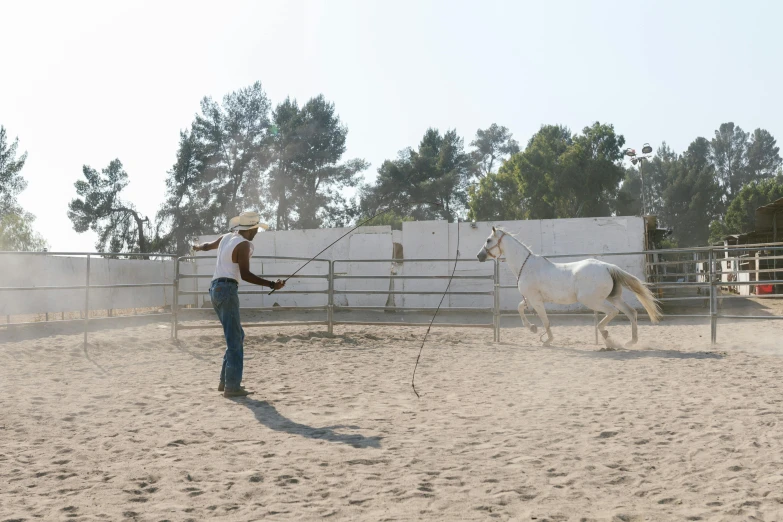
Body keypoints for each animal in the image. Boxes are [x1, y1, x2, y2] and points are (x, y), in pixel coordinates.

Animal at [478, 225, 660, 348]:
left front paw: (547, 340)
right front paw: (533, 329)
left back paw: (607, 336)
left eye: (488, 240)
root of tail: (608, 267)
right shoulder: (530, 299)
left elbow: (545, 320)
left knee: (613, 312)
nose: (479, 256)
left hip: (592, 301)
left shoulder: (536, 301)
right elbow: (520, 308)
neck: (526, 266)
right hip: (613, 297)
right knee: (631, 312)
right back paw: (630, 341)